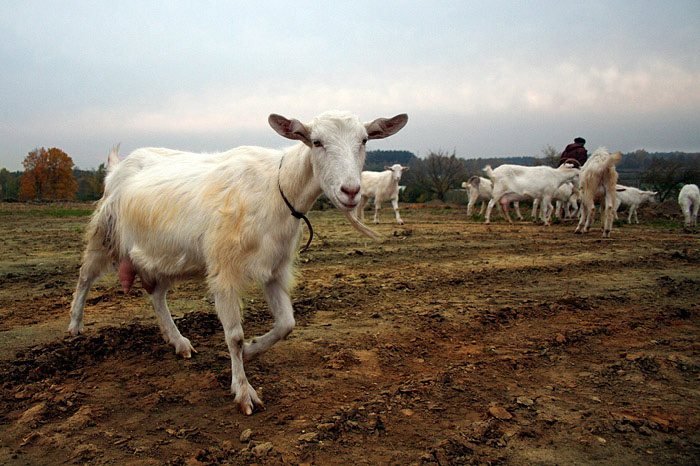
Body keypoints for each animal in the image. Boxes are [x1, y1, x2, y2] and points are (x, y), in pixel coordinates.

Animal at [68, 110, 408, 416]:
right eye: (316, 141)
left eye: (364, 140)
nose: (351, 191)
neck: (277, 189)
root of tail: (117, 167)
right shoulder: (224, 270)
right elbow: (234, 335)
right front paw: (244, 392)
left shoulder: (275, 268)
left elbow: (286, 324)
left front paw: (252, 351)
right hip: (105, 233)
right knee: (85, 277)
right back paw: (75, 326)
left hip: (165, 254)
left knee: (157, 295)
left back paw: (178, 341)